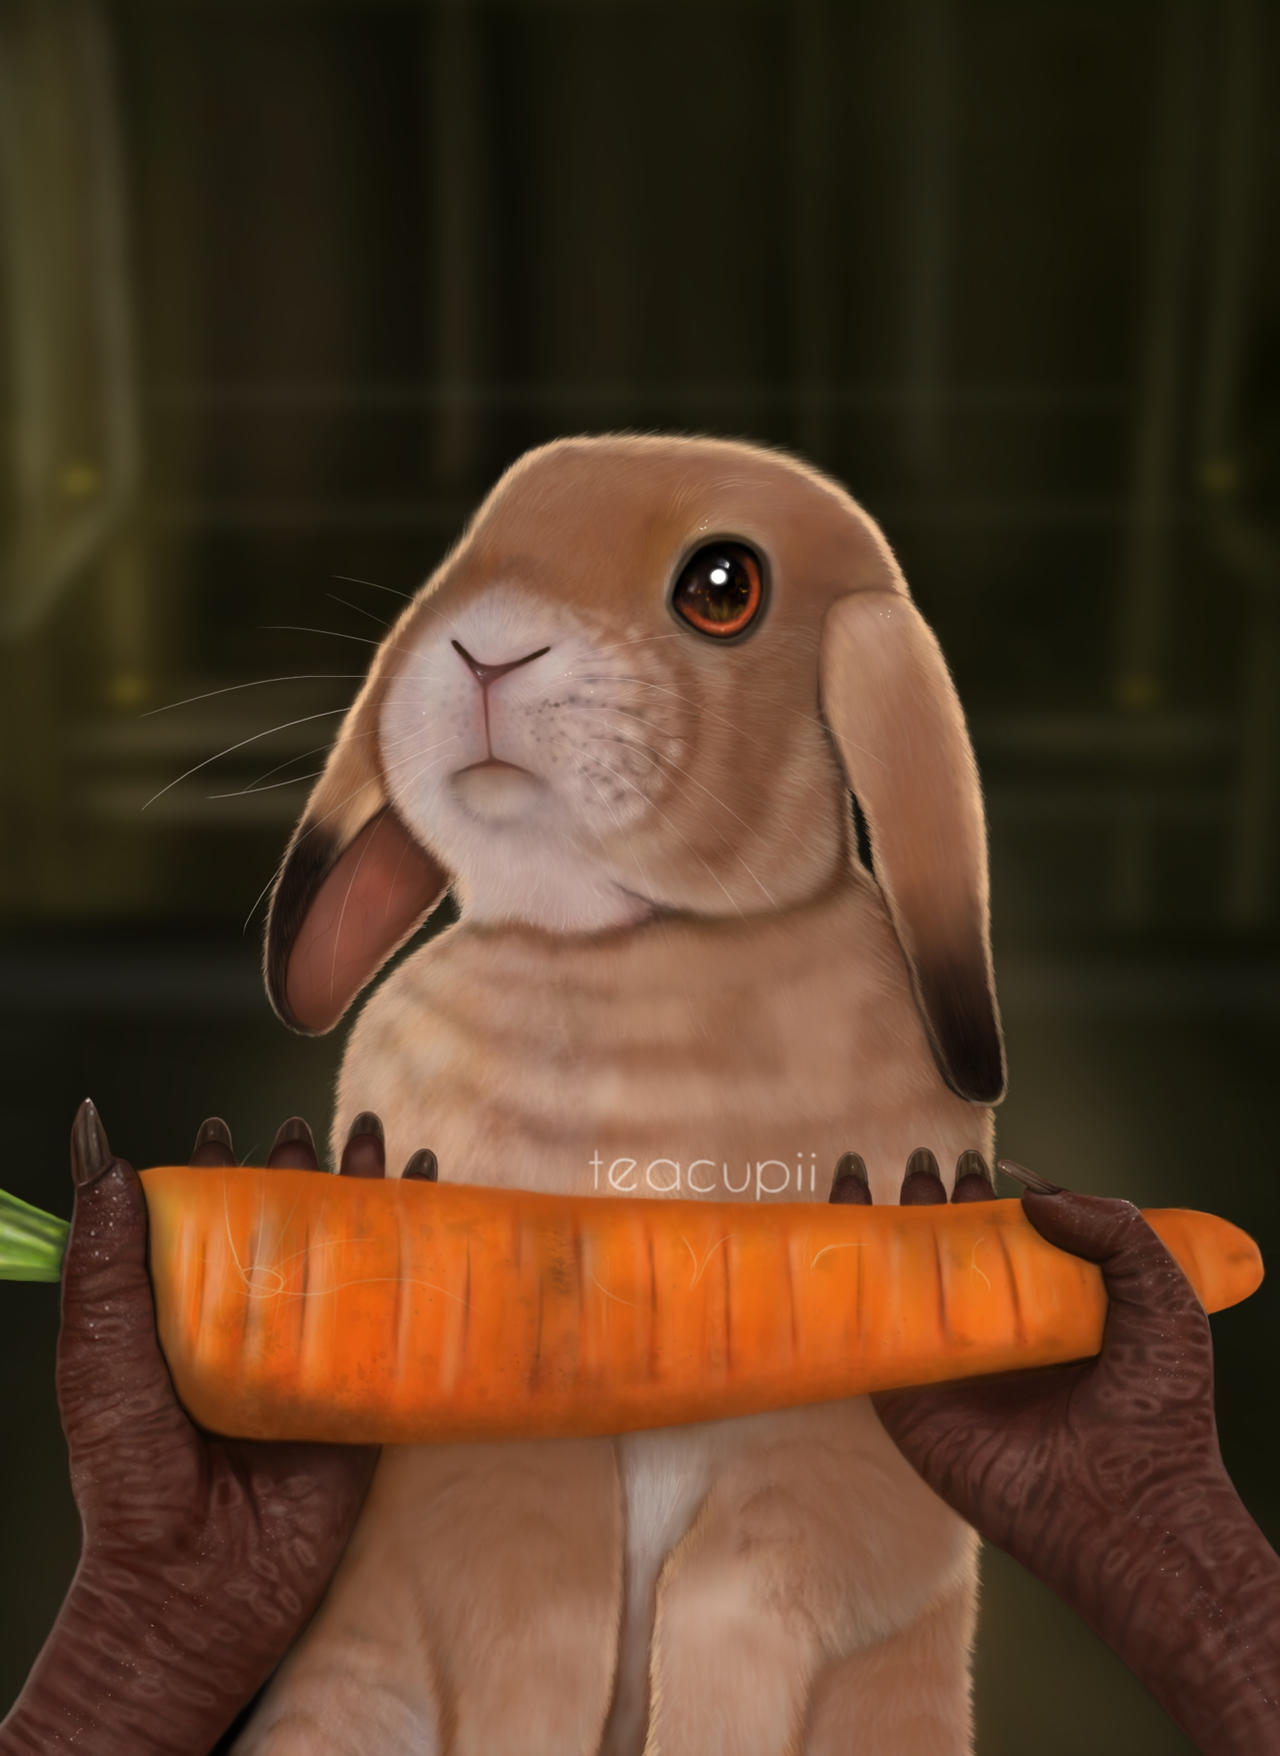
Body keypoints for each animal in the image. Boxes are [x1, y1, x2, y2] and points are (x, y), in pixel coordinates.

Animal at [238, 433, 1005, 1756]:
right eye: (477, 539)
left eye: (721, 586)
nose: (484, 647)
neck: (614, 947)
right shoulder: (493, 1454)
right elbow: (537, 1622)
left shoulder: (825, 1457)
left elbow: (731, 1603)